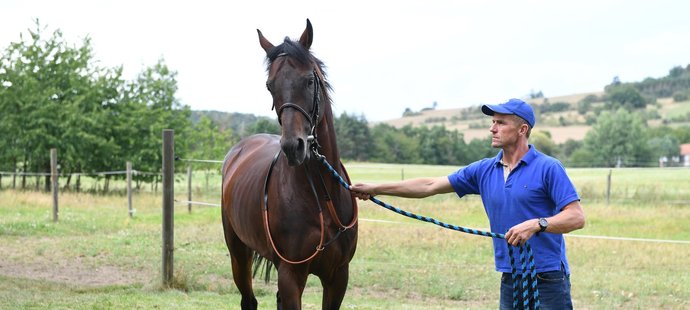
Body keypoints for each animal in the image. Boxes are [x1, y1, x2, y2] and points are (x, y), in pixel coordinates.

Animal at [220, 20, 358, 310]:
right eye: (269, 85)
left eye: (309, 80)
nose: (294, 147)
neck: (323, 195)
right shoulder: (291, 273)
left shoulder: (338, 276)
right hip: (238, 253)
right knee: (248, 299)